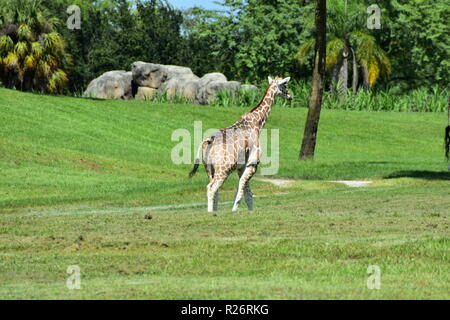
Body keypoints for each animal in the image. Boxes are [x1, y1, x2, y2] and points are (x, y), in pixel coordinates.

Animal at [189, 74, 292, 210]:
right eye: (285, 85)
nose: (290, 96)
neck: (257, 123)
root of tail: (209, 140)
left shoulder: (241, 167)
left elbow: (248, 194)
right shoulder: (252, 164)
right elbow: (241, 193)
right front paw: (235, 211)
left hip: (209, 168)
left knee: (214, 190)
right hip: (224, 169)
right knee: (211, 188)